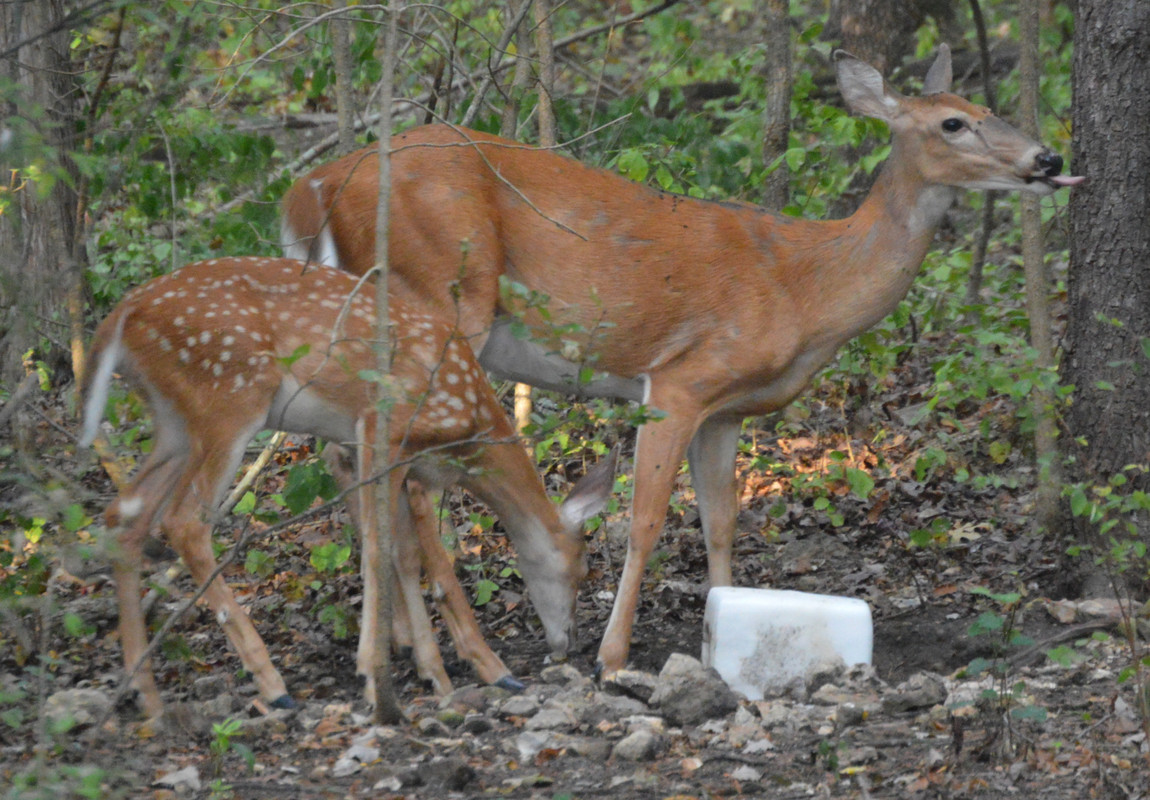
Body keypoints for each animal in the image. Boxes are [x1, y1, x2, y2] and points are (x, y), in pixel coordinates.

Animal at [79, 256, 614, 718]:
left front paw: (434, 673)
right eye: (581, 568)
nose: (569, 643)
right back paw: (272, 686)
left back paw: (147, 697)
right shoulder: (382, 427)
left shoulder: (383, 455)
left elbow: (404, 554)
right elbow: (380, 549)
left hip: (173, 423)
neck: (467, 429)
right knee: (184, 521)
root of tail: (121, 315)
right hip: (228, 396)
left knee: (124, 515)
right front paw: (382, 676)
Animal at [280, 46, 1083, 679]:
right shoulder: (680, 378)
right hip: (441, 301)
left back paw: (393, 648)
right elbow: (645, 519)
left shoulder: (727, 409)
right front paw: (611, 657)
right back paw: (451, 657)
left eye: (988, 107)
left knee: (354, 457)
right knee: (401, 470)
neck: (805, 287)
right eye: (952, 123)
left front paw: (724, 628)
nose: (1048, 159)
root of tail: (310, 190)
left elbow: (721, 522)